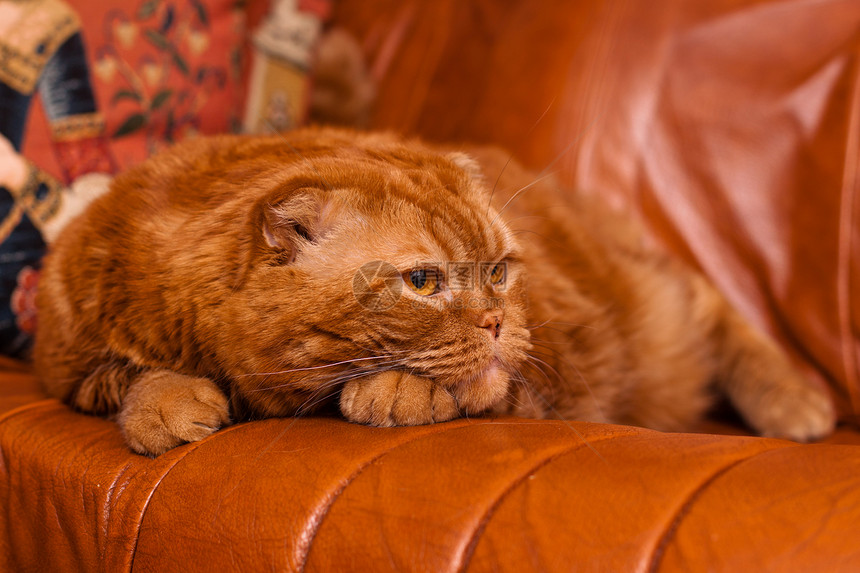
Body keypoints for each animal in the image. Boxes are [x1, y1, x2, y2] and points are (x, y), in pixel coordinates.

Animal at [31, 127, 832, 454]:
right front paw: (165, 402)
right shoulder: (72, 357)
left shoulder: (550, 378)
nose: (498, 322)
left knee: (718, 311)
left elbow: (482, 388)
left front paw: (396, 391)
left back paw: (795, 399)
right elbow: (129, 374)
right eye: (422, 282)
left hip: (654, 294)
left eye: (500, 271)